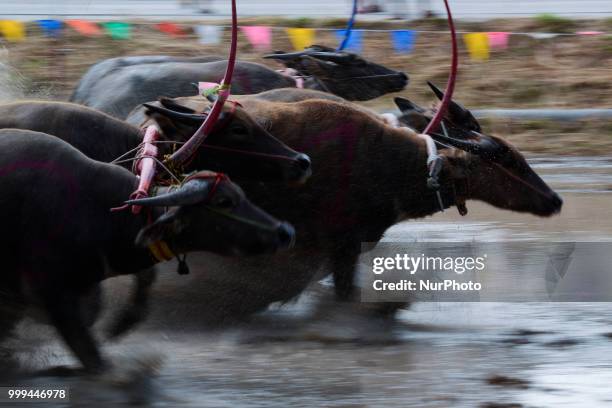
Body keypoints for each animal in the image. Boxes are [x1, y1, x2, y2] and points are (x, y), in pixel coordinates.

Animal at [0, 128, 294, 372]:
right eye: (224, 201)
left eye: (240, 192)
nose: (285, 231)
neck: (95, 207)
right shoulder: (53, 293)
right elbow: (90, 352)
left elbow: (136, 286)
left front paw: (121, 324)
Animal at [125, 96, 564, 322]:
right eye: (507, 160)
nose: (555, 200)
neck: (391, 163)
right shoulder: (340, 245)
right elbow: (342, 293)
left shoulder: (333, 249)